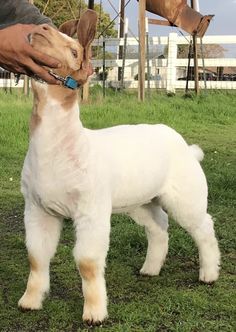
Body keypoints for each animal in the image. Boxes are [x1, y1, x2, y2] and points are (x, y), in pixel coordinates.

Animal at [17, 9, 220, 324]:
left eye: (74, 51)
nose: (39, 30)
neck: (63, 150)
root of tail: (188, 148)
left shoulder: (91, 210)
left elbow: (87, 262)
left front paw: (94, 313)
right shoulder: (38, 209)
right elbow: (36, 257)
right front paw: (29, 302)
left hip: (186, 194)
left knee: (203, 226)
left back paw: (209, 275)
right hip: (142, 200)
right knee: (158, 226)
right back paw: (150, 269)